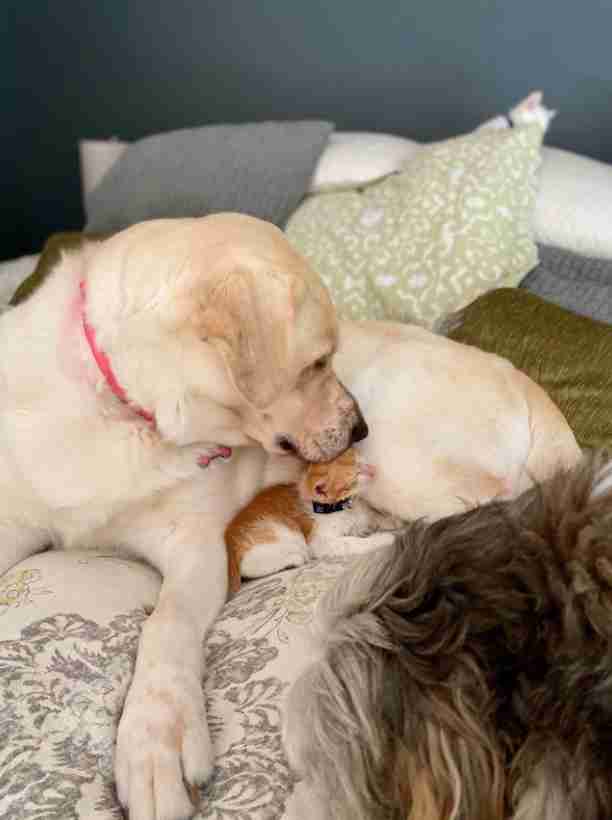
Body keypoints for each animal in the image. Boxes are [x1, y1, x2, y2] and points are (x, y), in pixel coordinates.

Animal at [225, 448, 402, 596]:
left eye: (361, 457)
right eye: (356, 475)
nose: (373, 469)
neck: (340, 507)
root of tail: (229, 535)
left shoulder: (362, 513)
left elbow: (372, 516)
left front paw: (392, 520)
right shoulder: (321, 541)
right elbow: (352, 542)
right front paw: (383, 538)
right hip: (283, 534)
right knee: (249, 566)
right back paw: (293, 559)